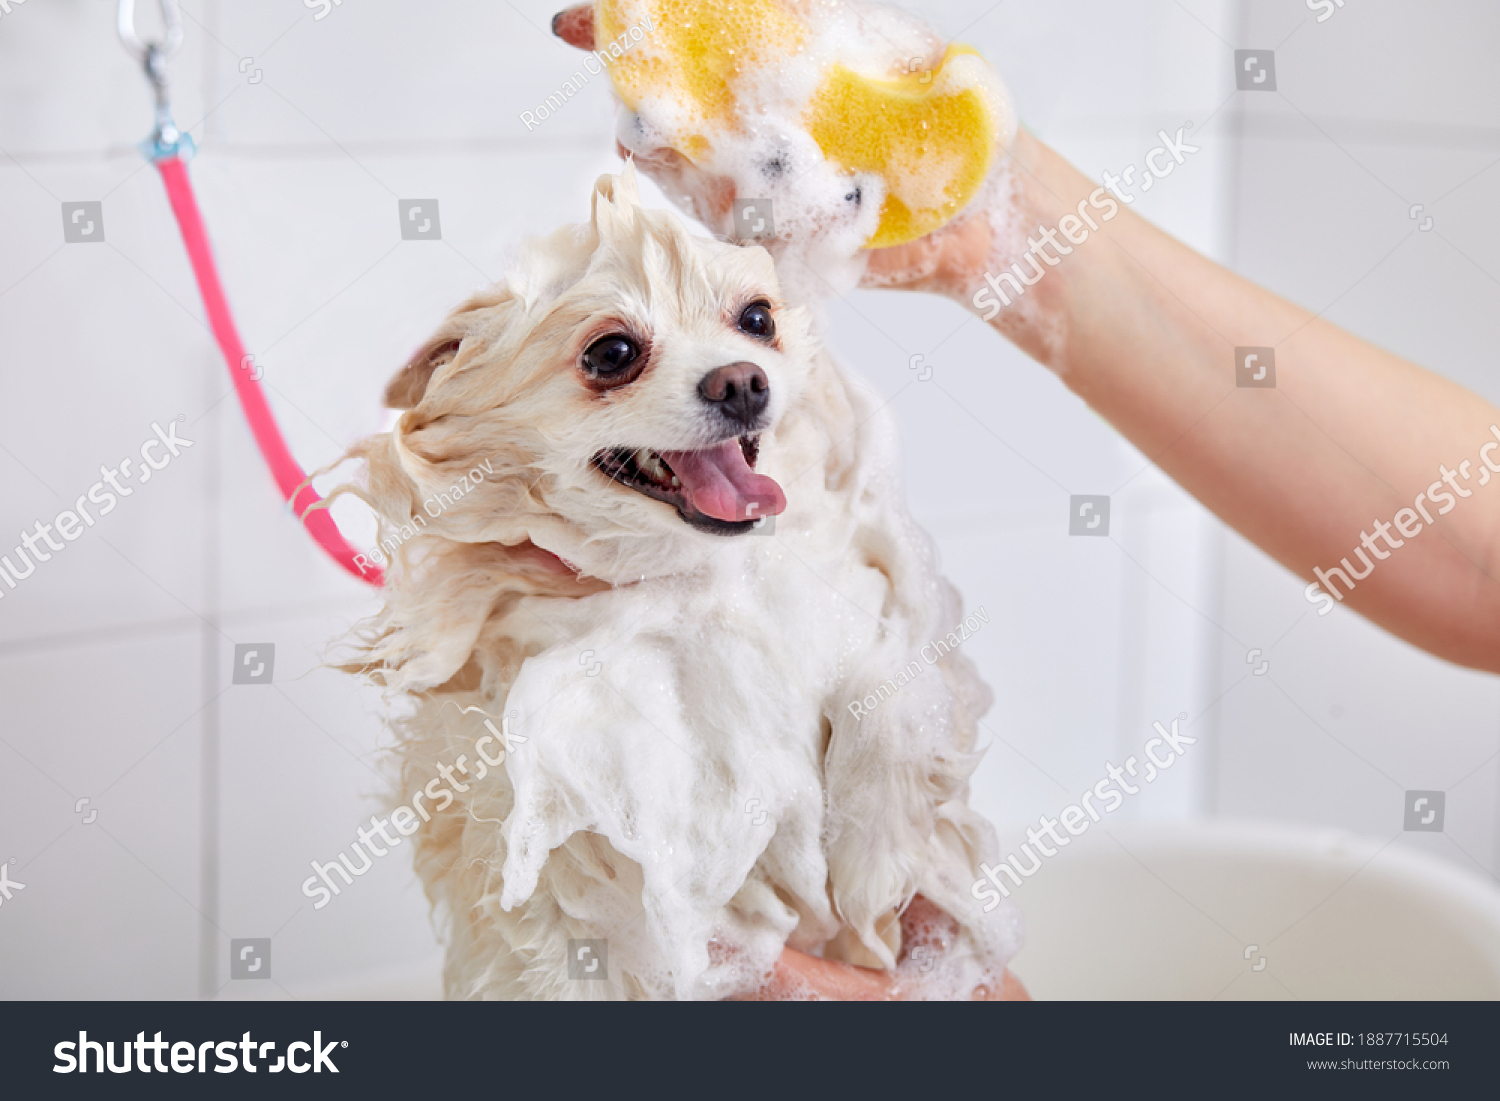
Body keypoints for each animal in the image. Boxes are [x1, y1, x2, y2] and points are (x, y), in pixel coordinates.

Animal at [340, 163, 1020, 1002]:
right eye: (613, 351)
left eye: (757, 318)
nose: (742, 382)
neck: (695, 574)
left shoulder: (865, 591)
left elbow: (892, 693)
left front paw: (879, 857)